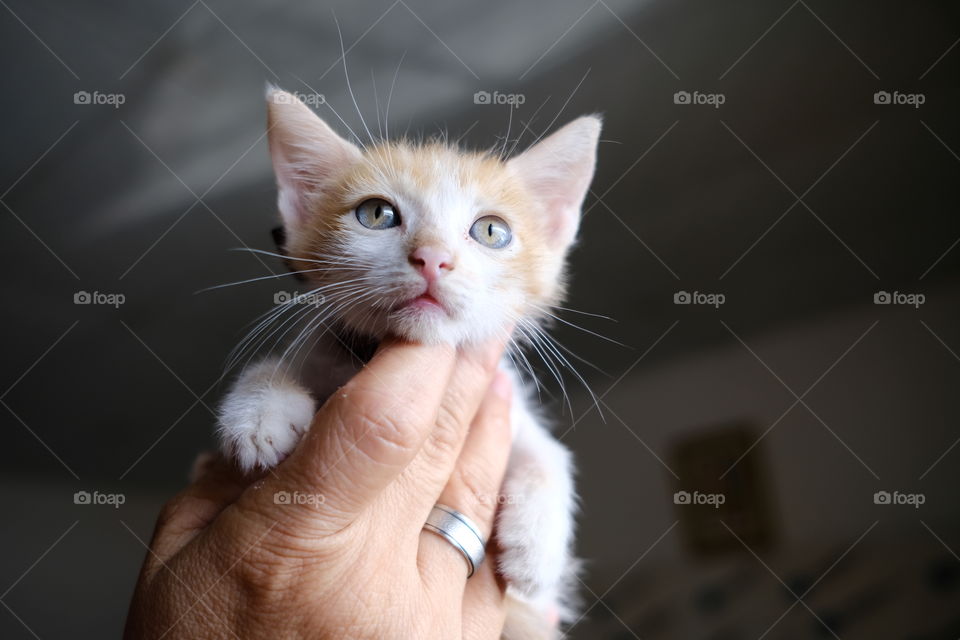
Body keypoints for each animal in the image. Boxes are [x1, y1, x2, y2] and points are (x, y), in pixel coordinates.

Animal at [219, 86, 600, 640]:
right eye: (376, 215)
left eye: (492, 231)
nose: (433, 258)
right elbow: (272, 366)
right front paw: (257, 415)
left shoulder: (505, 400)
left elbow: (549, 454)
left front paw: (537, 552)